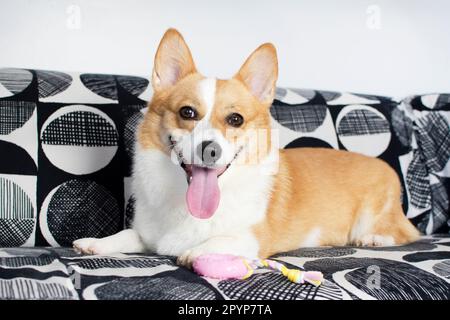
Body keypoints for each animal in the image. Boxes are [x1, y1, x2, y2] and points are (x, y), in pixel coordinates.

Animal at [72, 29, 420, 264]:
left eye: (236, 119)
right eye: (187, 112)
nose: (209, 150)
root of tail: (383, 165)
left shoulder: (252, 239)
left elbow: (221, 240)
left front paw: (195, 252)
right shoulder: (147, 235)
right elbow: (129, 235)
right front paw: (96, 243)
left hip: (377, 215)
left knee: (408, 233)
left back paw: (374, 238)